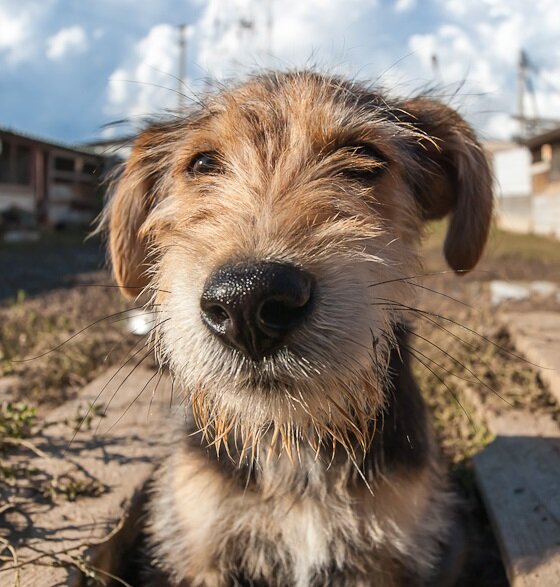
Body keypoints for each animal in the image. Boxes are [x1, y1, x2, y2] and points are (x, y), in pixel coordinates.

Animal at [107, 72, 492, 587]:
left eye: (366, 159)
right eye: (202, 163)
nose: (248, 300)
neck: (293, 443)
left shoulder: (381, 556)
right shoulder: (203, 546)